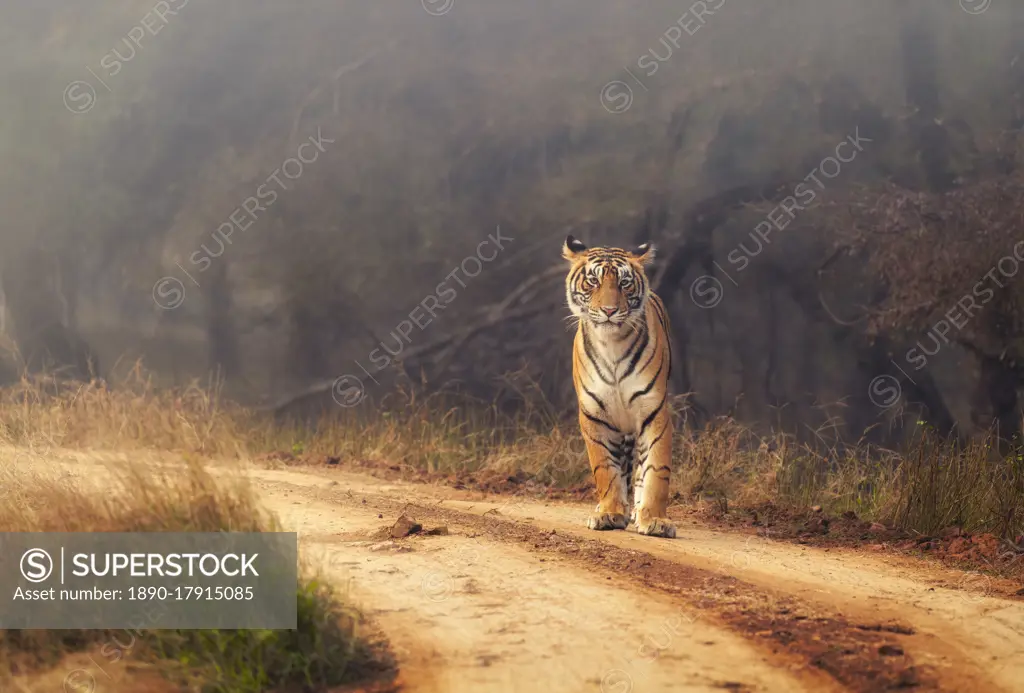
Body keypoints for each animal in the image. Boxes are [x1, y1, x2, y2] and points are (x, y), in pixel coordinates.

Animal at [565, 235, 675, 536]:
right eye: (593, 281)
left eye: (625, 283)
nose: (609, 311)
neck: (611, 344)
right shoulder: (594, 414)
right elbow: (605, 468)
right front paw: (609, 513)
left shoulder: (653, 410)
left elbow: (656, 468)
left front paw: (654, 519)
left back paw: (637, 510)